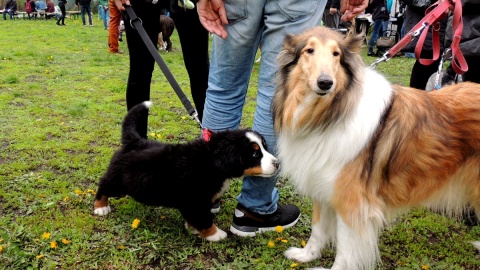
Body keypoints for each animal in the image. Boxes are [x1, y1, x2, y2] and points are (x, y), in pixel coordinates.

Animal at [93, 100, 278, 240]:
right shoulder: (194, 199)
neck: (211, 160)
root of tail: (134, 141)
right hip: (118, 182)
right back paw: (100, 207)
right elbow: (204, 219)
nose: (277, 163)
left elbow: (196, 218)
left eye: (264, 147)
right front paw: (215, 234)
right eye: (254, 153)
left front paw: (193, 228)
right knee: (103, 185)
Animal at [272, 26, 480, 268]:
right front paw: (306, 255)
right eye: (309, 50)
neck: (328, 113)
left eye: (336, 54)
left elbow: (345, 249)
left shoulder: (352, 202)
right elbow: (317, 228)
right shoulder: (323, 186)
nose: (325, 83)